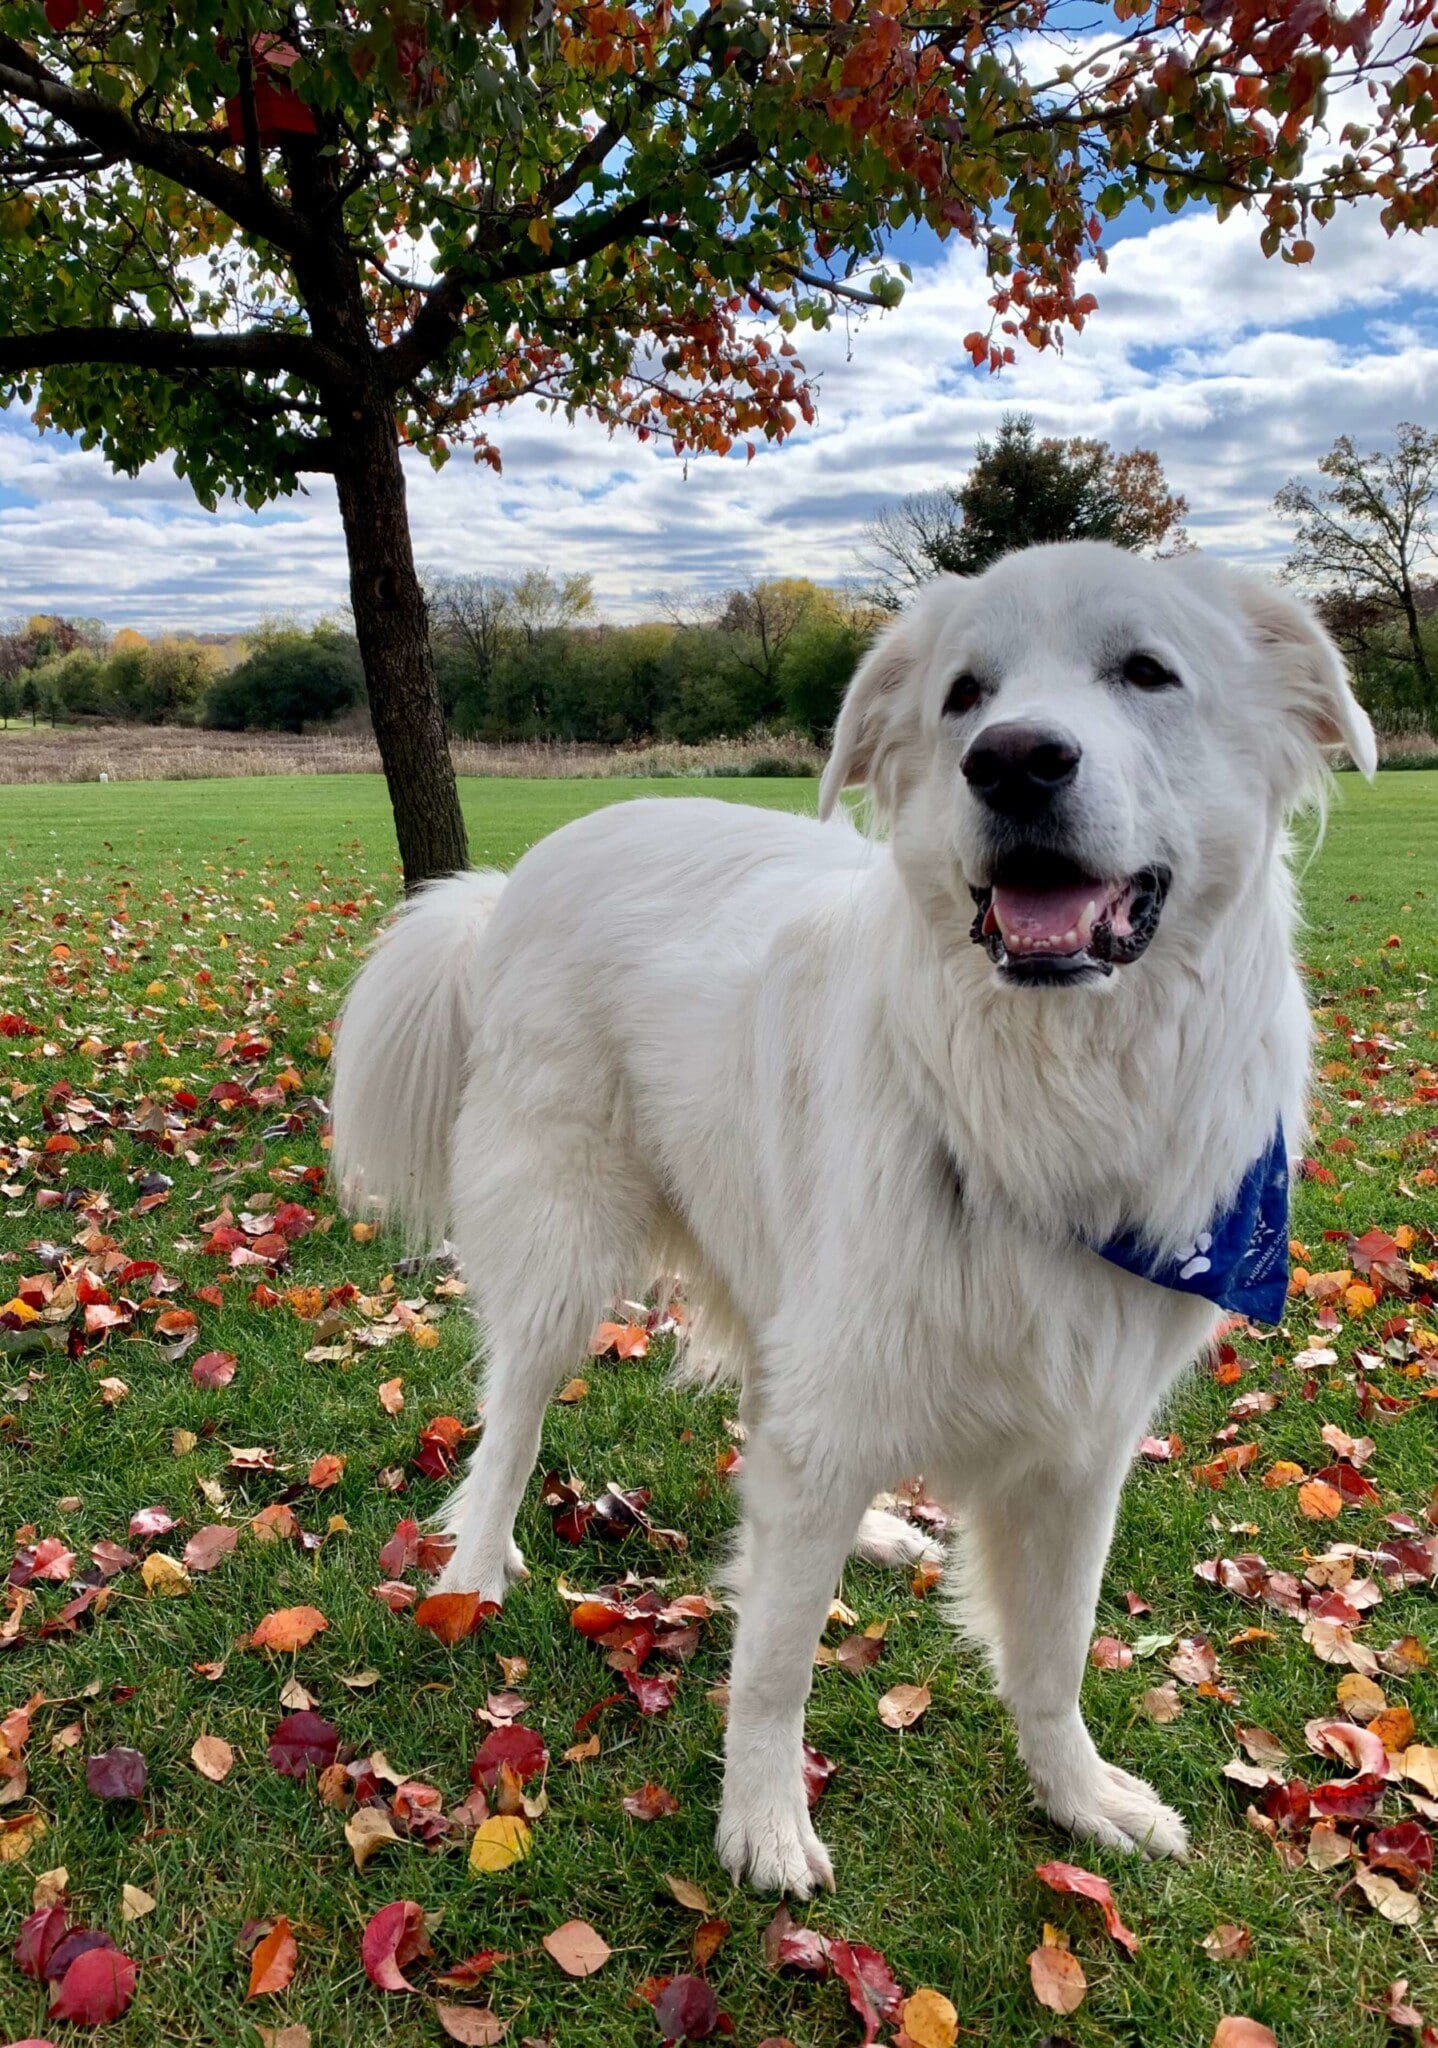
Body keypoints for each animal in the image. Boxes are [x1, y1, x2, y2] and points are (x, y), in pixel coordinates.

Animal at [331, 540, 1376, 1884]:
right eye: (963, 695)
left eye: (1147, 672)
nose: (1012, 758)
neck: (1047, 1091)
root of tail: (515, 877)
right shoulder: (848, 1398)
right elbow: (775, 1661)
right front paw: (764, 1820)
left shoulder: (1080, 1445)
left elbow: (1051, 1654)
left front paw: (1079, 1796)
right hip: (567, 1248)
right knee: (508, 1425)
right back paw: (471, 1575)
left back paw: (873, 1534)